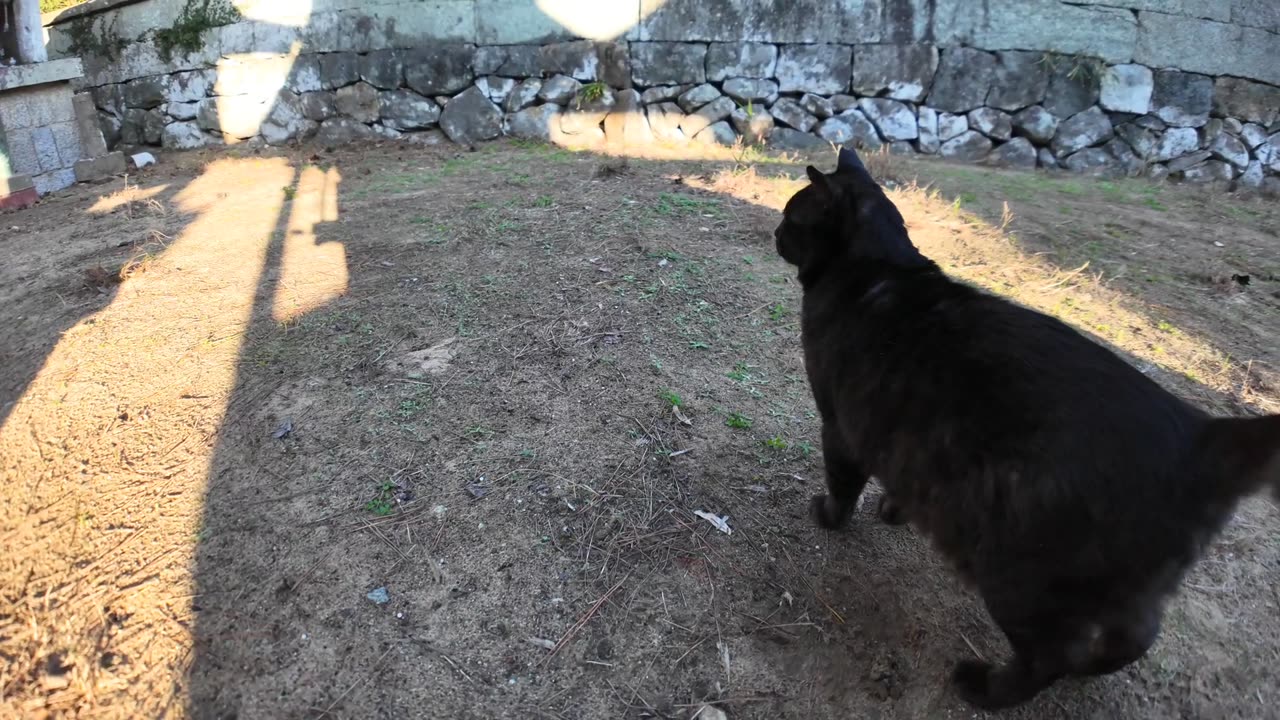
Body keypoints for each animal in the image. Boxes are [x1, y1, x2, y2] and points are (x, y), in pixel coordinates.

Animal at [768, 146, 1280, 707]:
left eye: (792, 214)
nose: (774, 230)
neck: (879, 268)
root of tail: (1203, 437)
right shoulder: (906, 444)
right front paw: (894, 510)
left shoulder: (840, 426)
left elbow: (842, 485)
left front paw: (829, 516)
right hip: (1127, 589)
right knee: (1136, 638)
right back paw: (1089, 670)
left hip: (1017, 577)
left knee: (1048, 658)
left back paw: (984, 687)